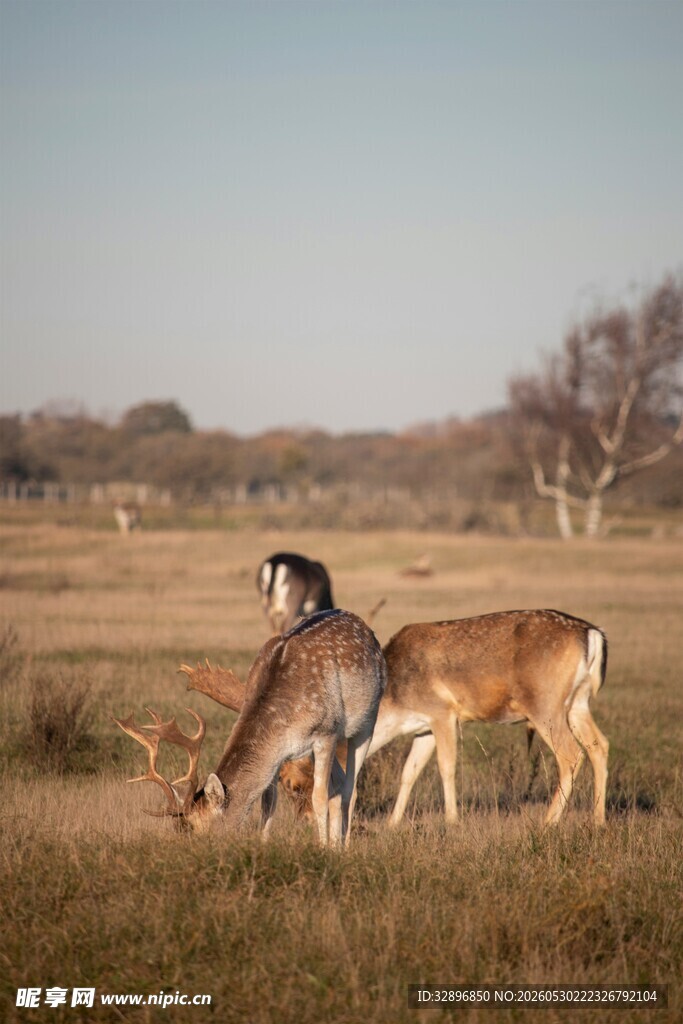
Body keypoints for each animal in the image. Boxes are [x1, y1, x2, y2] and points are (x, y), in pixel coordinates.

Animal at [113, 609, 386, 846]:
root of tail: (363, 625)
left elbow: (318, 796)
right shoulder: (280, 754)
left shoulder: (326, 734)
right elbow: (268, 801)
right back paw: (337, 843)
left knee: (350, 789)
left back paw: (343, 847)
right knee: (339, 786)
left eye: (195, 827)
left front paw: (322, 849)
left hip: (366, 721)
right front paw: (262, 845)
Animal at [182, 609, 609, 828]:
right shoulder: (422, 728)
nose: (303, 820)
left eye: (296, 783)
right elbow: (409, 771)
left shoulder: (443, 712)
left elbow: (446, 767)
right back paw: (598, 820)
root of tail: (594, 634)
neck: (397, 705)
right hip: (577, 703)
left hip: (545, 704)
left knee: (571, 754)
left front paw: (452, 822)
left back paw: (549, 822)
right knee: (600, 745)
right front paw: (392, 823)